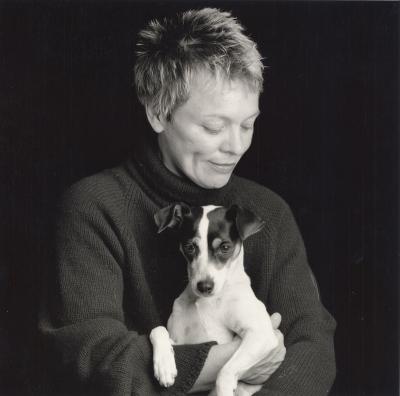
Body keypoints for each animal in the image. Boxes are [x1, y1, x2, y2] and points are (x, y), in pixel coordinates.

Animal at [150, 204, 284, 396]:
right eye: (190, 247)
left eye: (225, 247)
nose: (204, 286)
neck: (206, 302)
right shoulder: (179, 341)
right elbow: (157, 329)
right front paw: (164, 366)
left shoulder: (261, 333)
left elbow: (225, 371)